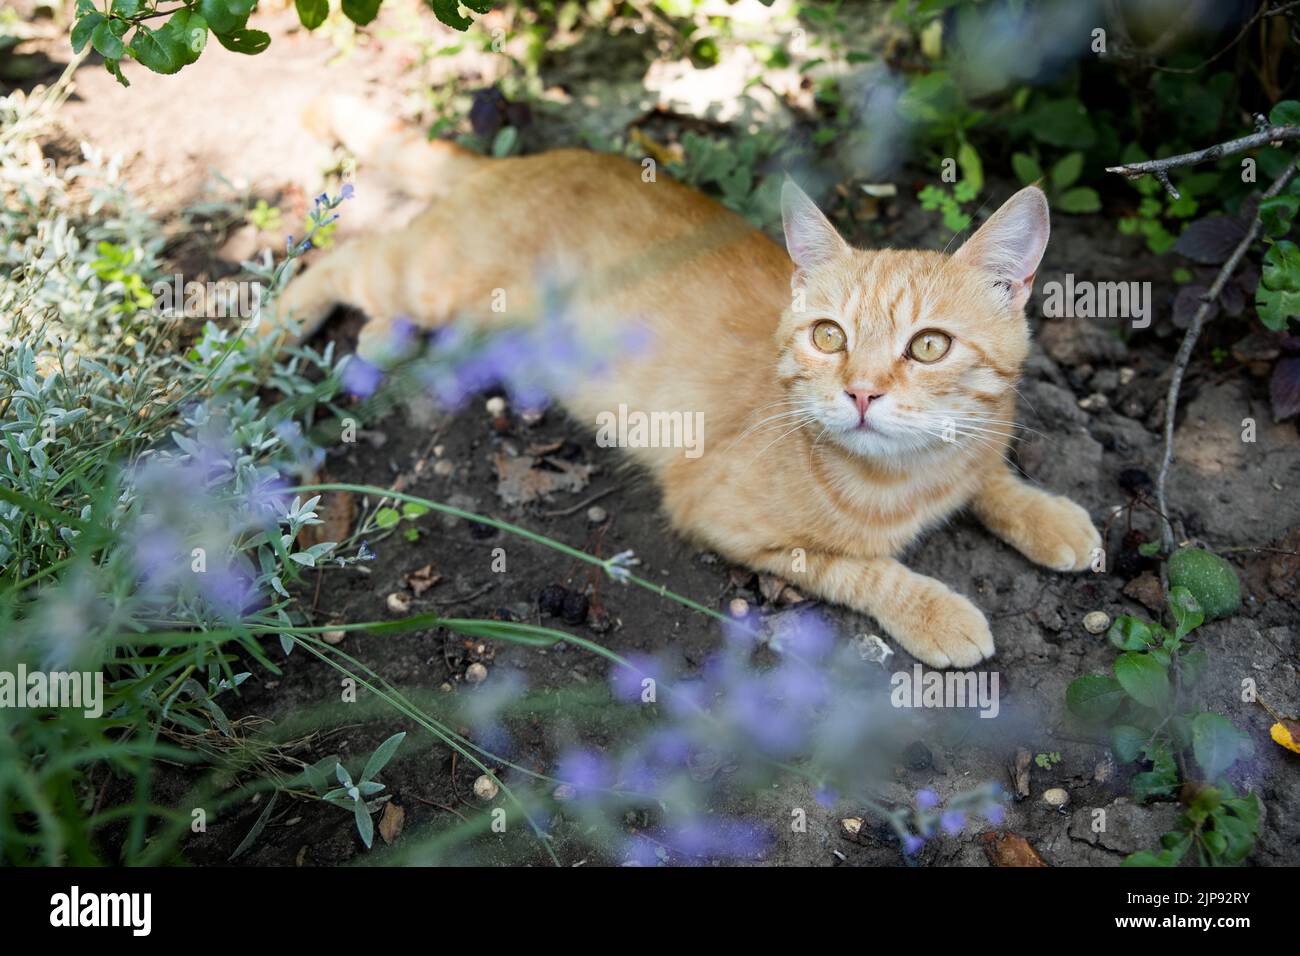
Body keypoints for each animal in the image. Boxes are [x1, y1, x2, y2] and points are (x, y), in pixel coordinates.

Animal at [269, 95, 1102, 665]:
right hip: (430, 277)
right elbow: (860, 569)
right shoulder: (719, 516)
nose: (862, 393)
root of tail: (537, 159)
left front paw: (1048, 516)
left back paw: (377, 343)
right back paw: (261, 337)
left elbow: (990, 475)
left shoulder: (972, 450)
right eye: (828, 336)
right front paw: (936, 611)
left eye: (929, 346)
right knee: (340, 254)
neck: (912, 478)